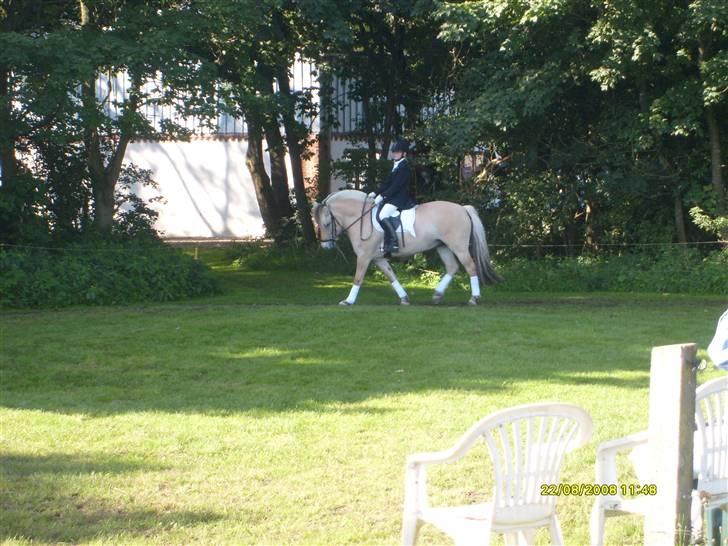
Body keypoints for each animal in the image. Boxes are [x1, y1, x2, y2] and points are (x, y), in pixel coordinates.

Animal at [312, 189, 502, 305]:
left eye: (327, 223)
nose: (326, 246)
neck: (362, 219)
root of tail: (462, 208)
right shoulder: (378, 258)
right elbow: (391, 276)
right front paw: (404, 298)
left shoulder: (365, 256)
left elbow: (358, 278)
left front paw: (348, 301)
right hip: (443, 246)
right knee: (452, 267)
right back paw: (437, 295)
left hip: (459, 247)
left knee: (470, 267)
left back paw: (474, 298)